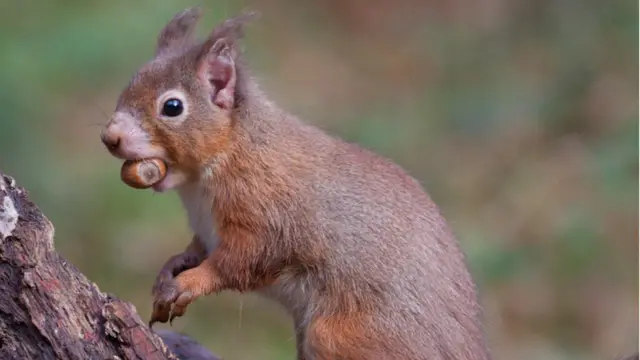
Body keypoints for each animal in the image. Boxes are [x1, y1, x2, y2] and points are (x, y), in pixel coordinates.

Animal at [99, 6, 490, 360]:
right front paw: (172, 268)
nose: (110, 137)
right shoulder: (208, 229)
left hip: (340, 335)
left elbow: (240, 261)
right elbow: (197, 250)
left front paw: (189, 283)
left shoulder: (268, 213)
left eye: (173, 107)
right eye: (130, 83)